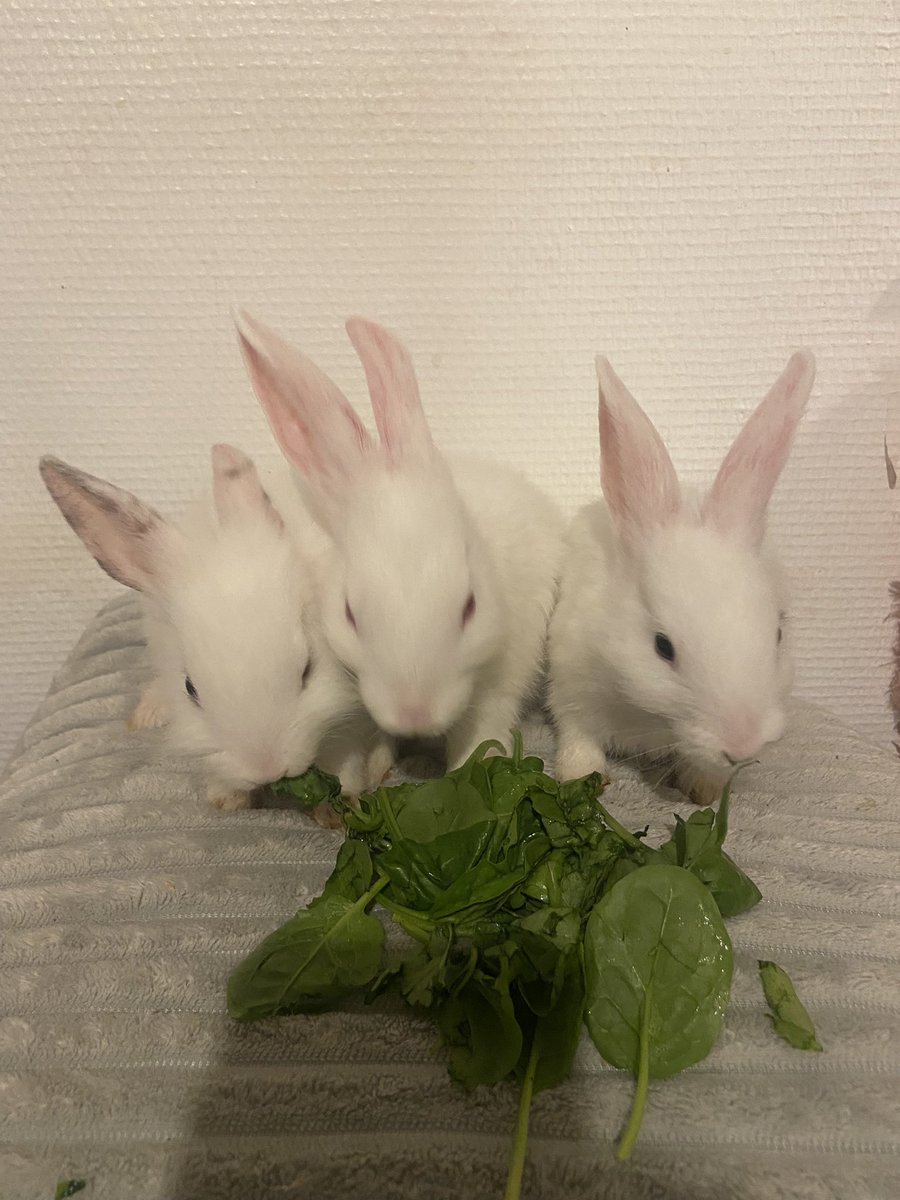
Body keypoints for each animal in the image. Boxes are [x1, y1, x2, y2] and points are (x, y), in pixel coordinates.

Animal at [39, 446, 390, 818]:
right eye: (190, 688)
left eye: (308, 669)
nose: (265, 770)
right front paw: (227, 798)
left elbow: (346, 754)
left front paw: (340, 805)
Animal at [232, 310, 565, 768]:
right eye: (350, 614)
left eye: (470, 606)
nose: (414, 715)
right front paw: (375, 765)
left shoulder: (503, 674)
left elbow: (482, 733)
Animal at [548, 349, 816, 805]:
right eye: (662, 647)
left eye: (778, 635)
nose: (741, 745)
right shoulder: (570, 686)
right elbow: (578, 737)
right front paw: (579, 777)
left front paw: (705, 789)